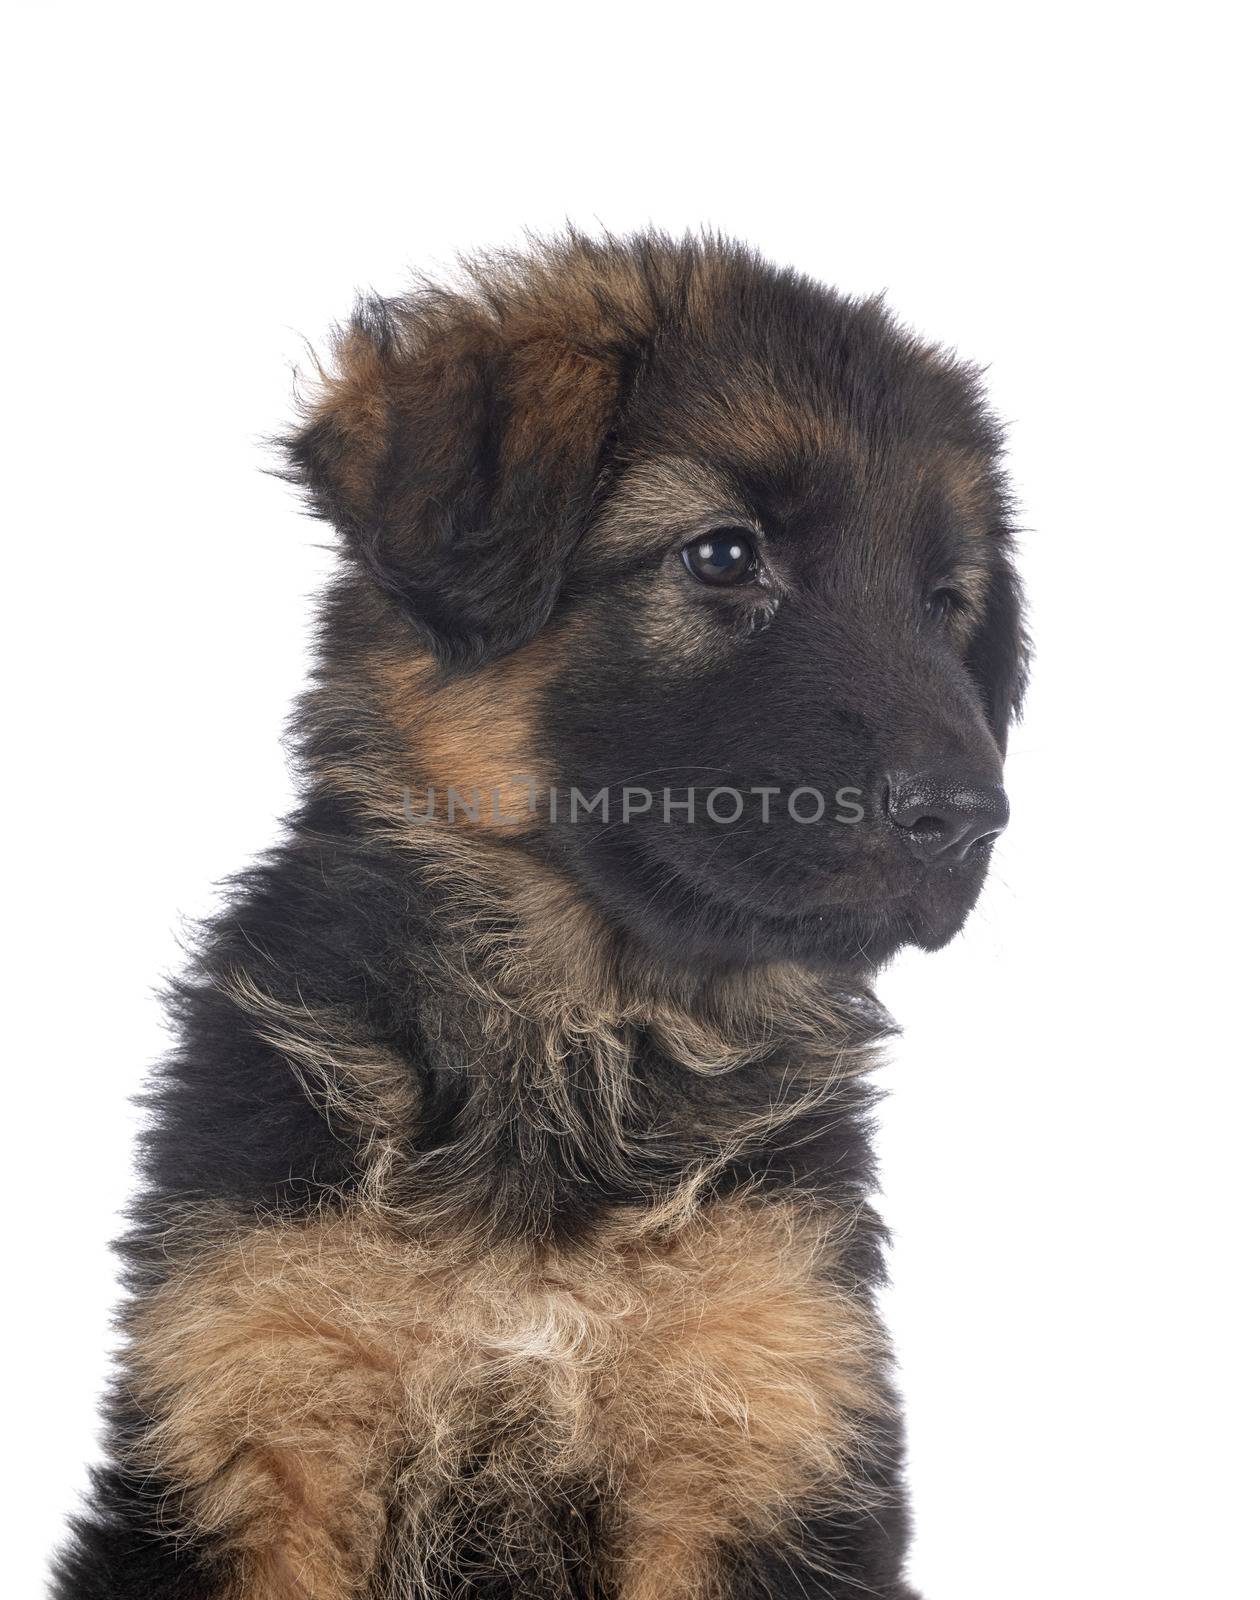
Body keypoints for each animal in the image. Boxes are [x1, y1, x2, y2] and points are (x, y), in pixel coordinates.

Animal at [56, 233, 1023, 1600]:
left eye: (945, 601)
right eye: (724, 555)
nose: (973, 817)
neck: (572, 1037)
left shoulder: (757, 1425)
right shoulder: (265, 1424)